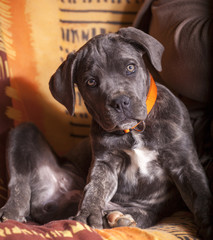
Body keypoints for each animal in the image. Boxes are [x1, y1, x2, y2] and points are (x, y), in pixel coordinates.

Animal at [0, 27, 212, 239]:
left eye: (130, 68)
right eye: (91, 82)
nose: (120, 102)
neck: (134, 130)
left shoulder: (184, 164)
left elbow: (201, 195)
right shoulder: (105, 162)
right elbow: (95, 189)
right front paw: (87, 215)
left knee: (139, 214)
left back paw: (117, 218)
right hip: (22, 131)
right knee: (19, 184)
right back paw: (11, 213)